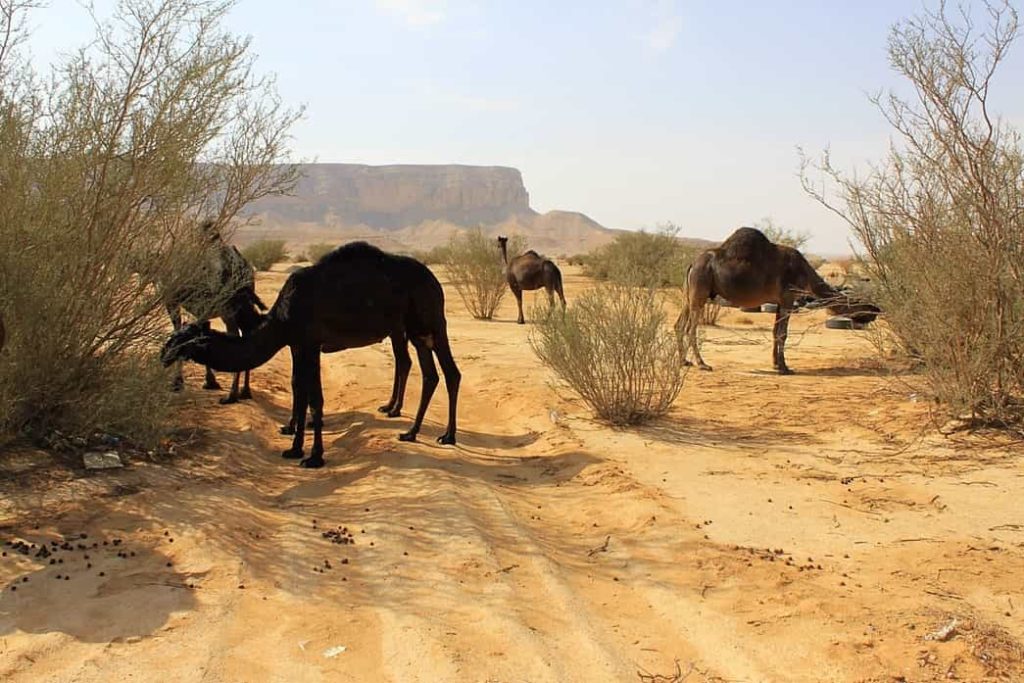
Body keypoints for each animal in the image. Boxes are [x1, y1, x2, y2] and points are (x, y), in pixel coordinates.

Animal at [160, 241, 460, 471]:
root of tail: (434, 280)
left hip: (432, 322)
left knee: (450, 373)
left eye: (184, 339)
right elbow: (299, 389)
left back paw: (447, 436)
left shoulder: (310, 343)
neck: (281, 319)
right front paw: (294, 448)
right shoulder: (297, 345)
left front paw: (314, 457)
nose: (163, 354)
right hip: (416, 331)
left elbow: (315, 398)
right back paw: (411, 432)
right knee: (430, 374)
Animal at [671, 227, 880, 374]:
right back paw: (702, 364)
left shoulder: (780, 301)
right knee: (691, 327)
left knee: (679, 324)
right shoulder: (788, 299)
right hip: (700, 289)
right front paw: (785, 368)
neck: (805, 272)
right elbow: (783, 334)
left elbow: (774, 332)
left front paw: (775, 364)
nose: (876, 311)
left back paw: (684, 361)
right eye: (863, 304)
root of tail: (692, 263)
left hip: (690, 293)